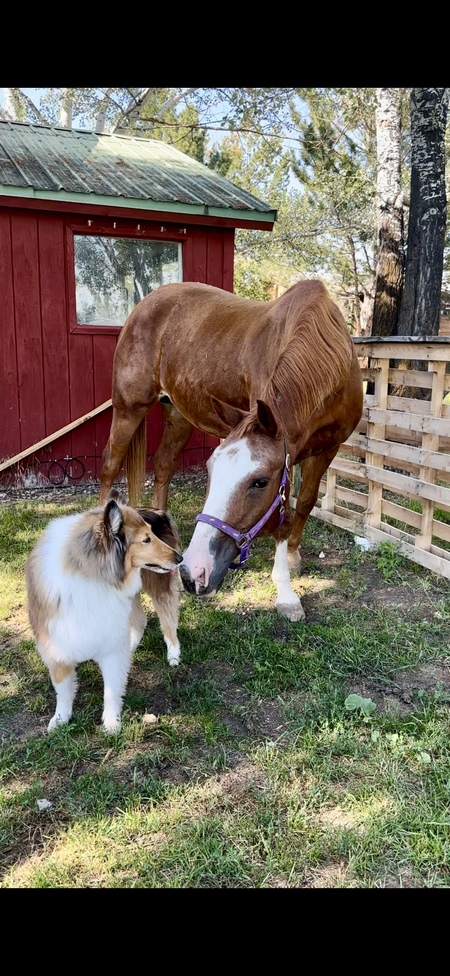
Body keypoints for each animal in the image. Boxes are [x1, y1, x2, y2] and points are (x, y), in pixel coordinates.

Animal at [24, 496, 182, 732]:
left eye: (152, 534)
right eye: (146, 539)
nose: (180, 558)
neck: (91, 574)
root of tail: (157, 510)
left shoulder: (111, 641)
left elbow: (111, 689)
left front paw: (111, 723)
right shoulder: (55, 642)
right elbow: (63, 689)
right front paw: (60, 719)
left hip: (158, 587)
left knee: (168, 621)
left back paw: (173, 655)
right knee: (140, 620)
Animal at [98, 278, 362, 620]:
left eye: (260, 482)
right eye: (211, 471)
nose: (193, 573)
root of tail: (143, 306)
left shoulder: (327, 448)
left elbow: (304, 503)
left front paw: (292, 556)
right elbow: (285, 516)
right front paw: (286, 593)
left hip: (178, 415)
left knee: (164, 465)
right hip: (128, 407)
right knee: (110, 464)